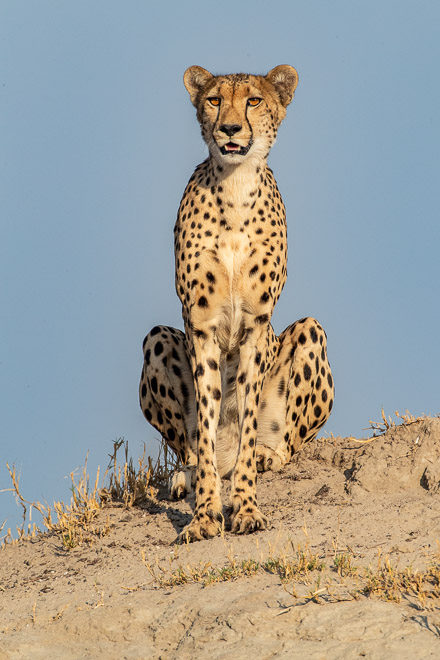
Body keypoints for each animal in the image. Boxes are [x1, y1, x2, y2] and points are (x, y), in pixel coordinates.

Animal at [140, 65, 334, 540]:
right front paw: (206, 515)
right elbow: (208, 426)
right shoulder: (201, 327)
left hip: (311, 331)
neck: (235, 184)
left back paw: (268, 454)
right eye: (214, 100)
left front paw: (244, 508)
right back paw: (187, 474)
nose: (229, 128)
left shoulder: (255, 327)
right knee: (193, 448)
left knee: (286, 443)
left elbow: (246, 421)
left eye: (253, 100)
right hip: (157, 339)